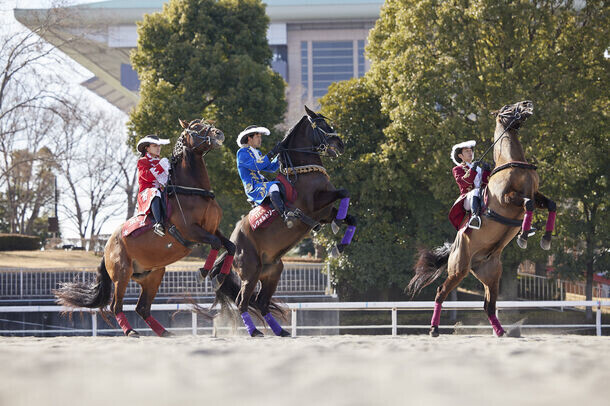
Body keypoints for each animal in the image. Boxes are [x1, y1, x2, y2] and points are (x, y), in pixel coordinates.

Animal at [54, 119, 235, 338]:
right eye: (195, 127)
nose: (218, 133)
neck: (194, 192)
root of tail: (106, 247)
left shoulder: (212, 229)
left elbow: (230, 246)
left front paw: (221, 276)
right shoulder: (192, 231)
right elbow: (216, 244)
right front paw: (204, 272)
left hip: (153, 275)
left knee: (142, 308)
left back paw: (164, 332)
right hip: (122, 275)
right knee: (116, 306)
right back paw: (131, 331)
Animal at [205, 106, 354, 338]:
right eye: (321, 125)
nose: (340, 143)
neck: (302, 171)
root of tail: (233, 243)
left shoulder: (324, 212)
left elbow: (351, 217)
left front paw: (340, 244)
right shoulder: (316, 204)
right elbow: (344, 191)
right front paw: (337, 227)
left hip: (272, 272)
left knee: (261, 303)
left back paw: (280, 331)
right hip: (250, 273)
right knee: (242, 302)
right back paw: (255, 331)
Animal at [406, 100, 552, 336]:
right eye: (507, 107)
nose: (527, 104)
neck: (512, 161)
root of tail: (455, 248)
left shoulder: (535, 194)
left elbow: (551, 205)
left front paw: (545, 238)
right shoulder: (508, 198)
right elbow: (528, 204)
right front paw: (523, 235)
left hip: (491, 274)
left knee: (488, 305)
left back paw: (502, 332)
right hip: (459, 269)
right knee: (441, 291)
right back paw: (434, 328)